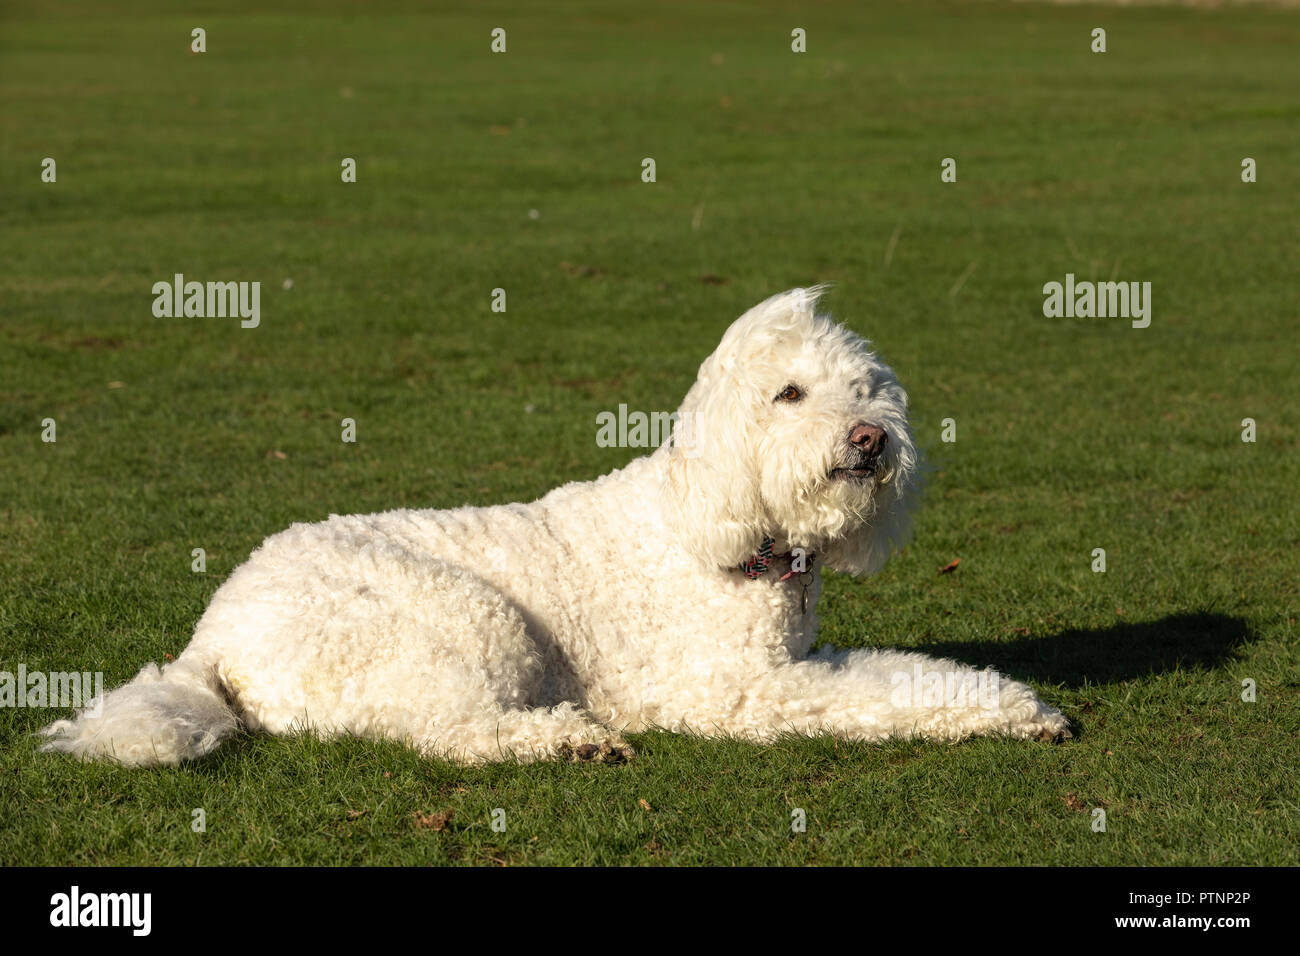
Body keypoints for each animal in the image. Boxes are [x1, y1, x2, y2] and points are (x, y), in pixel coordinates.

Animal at [45, 287, 1071, 764]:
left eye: (869, 389)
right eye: (789, 393)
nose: (870, 440)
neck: (715, 520)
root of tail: (212, 633)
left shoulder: (797, 660)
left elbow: (908, 676)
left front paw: (1018, 708)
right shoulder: (737, 693)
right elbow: (869, 701)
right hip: (461, 621)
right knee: (448, 732)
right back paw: (569, 739)